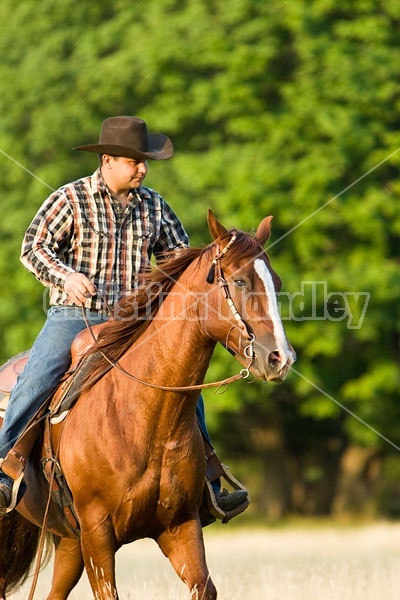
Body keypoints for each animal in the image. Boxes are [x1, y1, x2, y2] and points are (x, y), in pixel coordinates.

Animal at [0, 209, 294, 596]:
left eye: (276, 282)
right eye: (241, 282)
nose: (280, 358)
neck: (143, 415)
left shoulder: (179, 525)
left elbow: (204, 586)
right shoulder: (97, 535)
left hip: (68, 542)